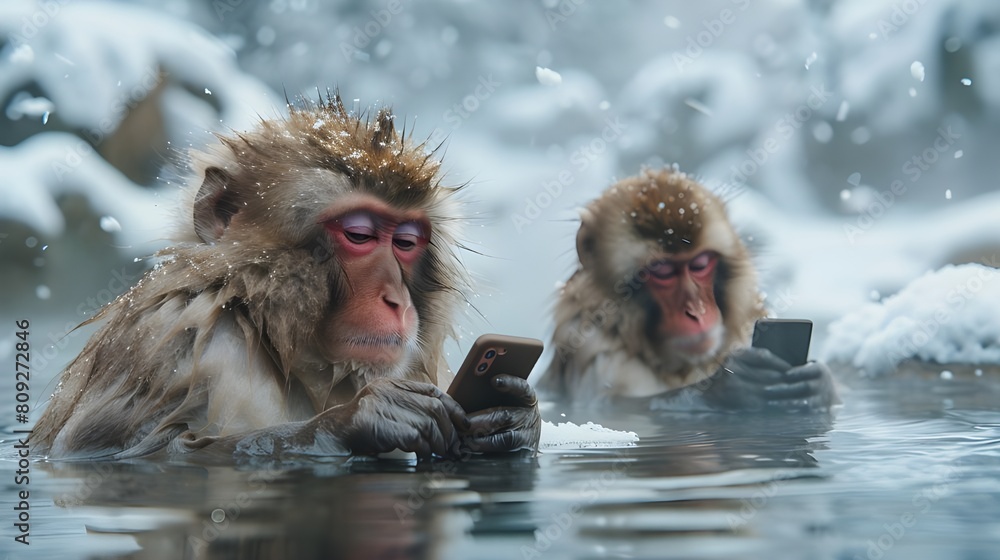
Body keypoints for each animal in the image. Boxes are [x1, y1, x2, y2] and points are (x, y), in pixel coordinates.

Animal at [32, 93, 541, 461]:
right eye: (359, 234)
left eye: (406, 242)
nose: (396, 299)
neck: (270, 331)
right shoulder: (168, 337)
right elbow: (130, 450)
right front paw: (366, 418)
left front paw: (517, 418)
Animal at [538, 167, 837, 412]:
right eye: (662, 271)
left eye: (700, 264)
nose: (697, 311)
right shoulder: (593, 351)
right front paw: (729, 389)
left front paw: (821, 384)